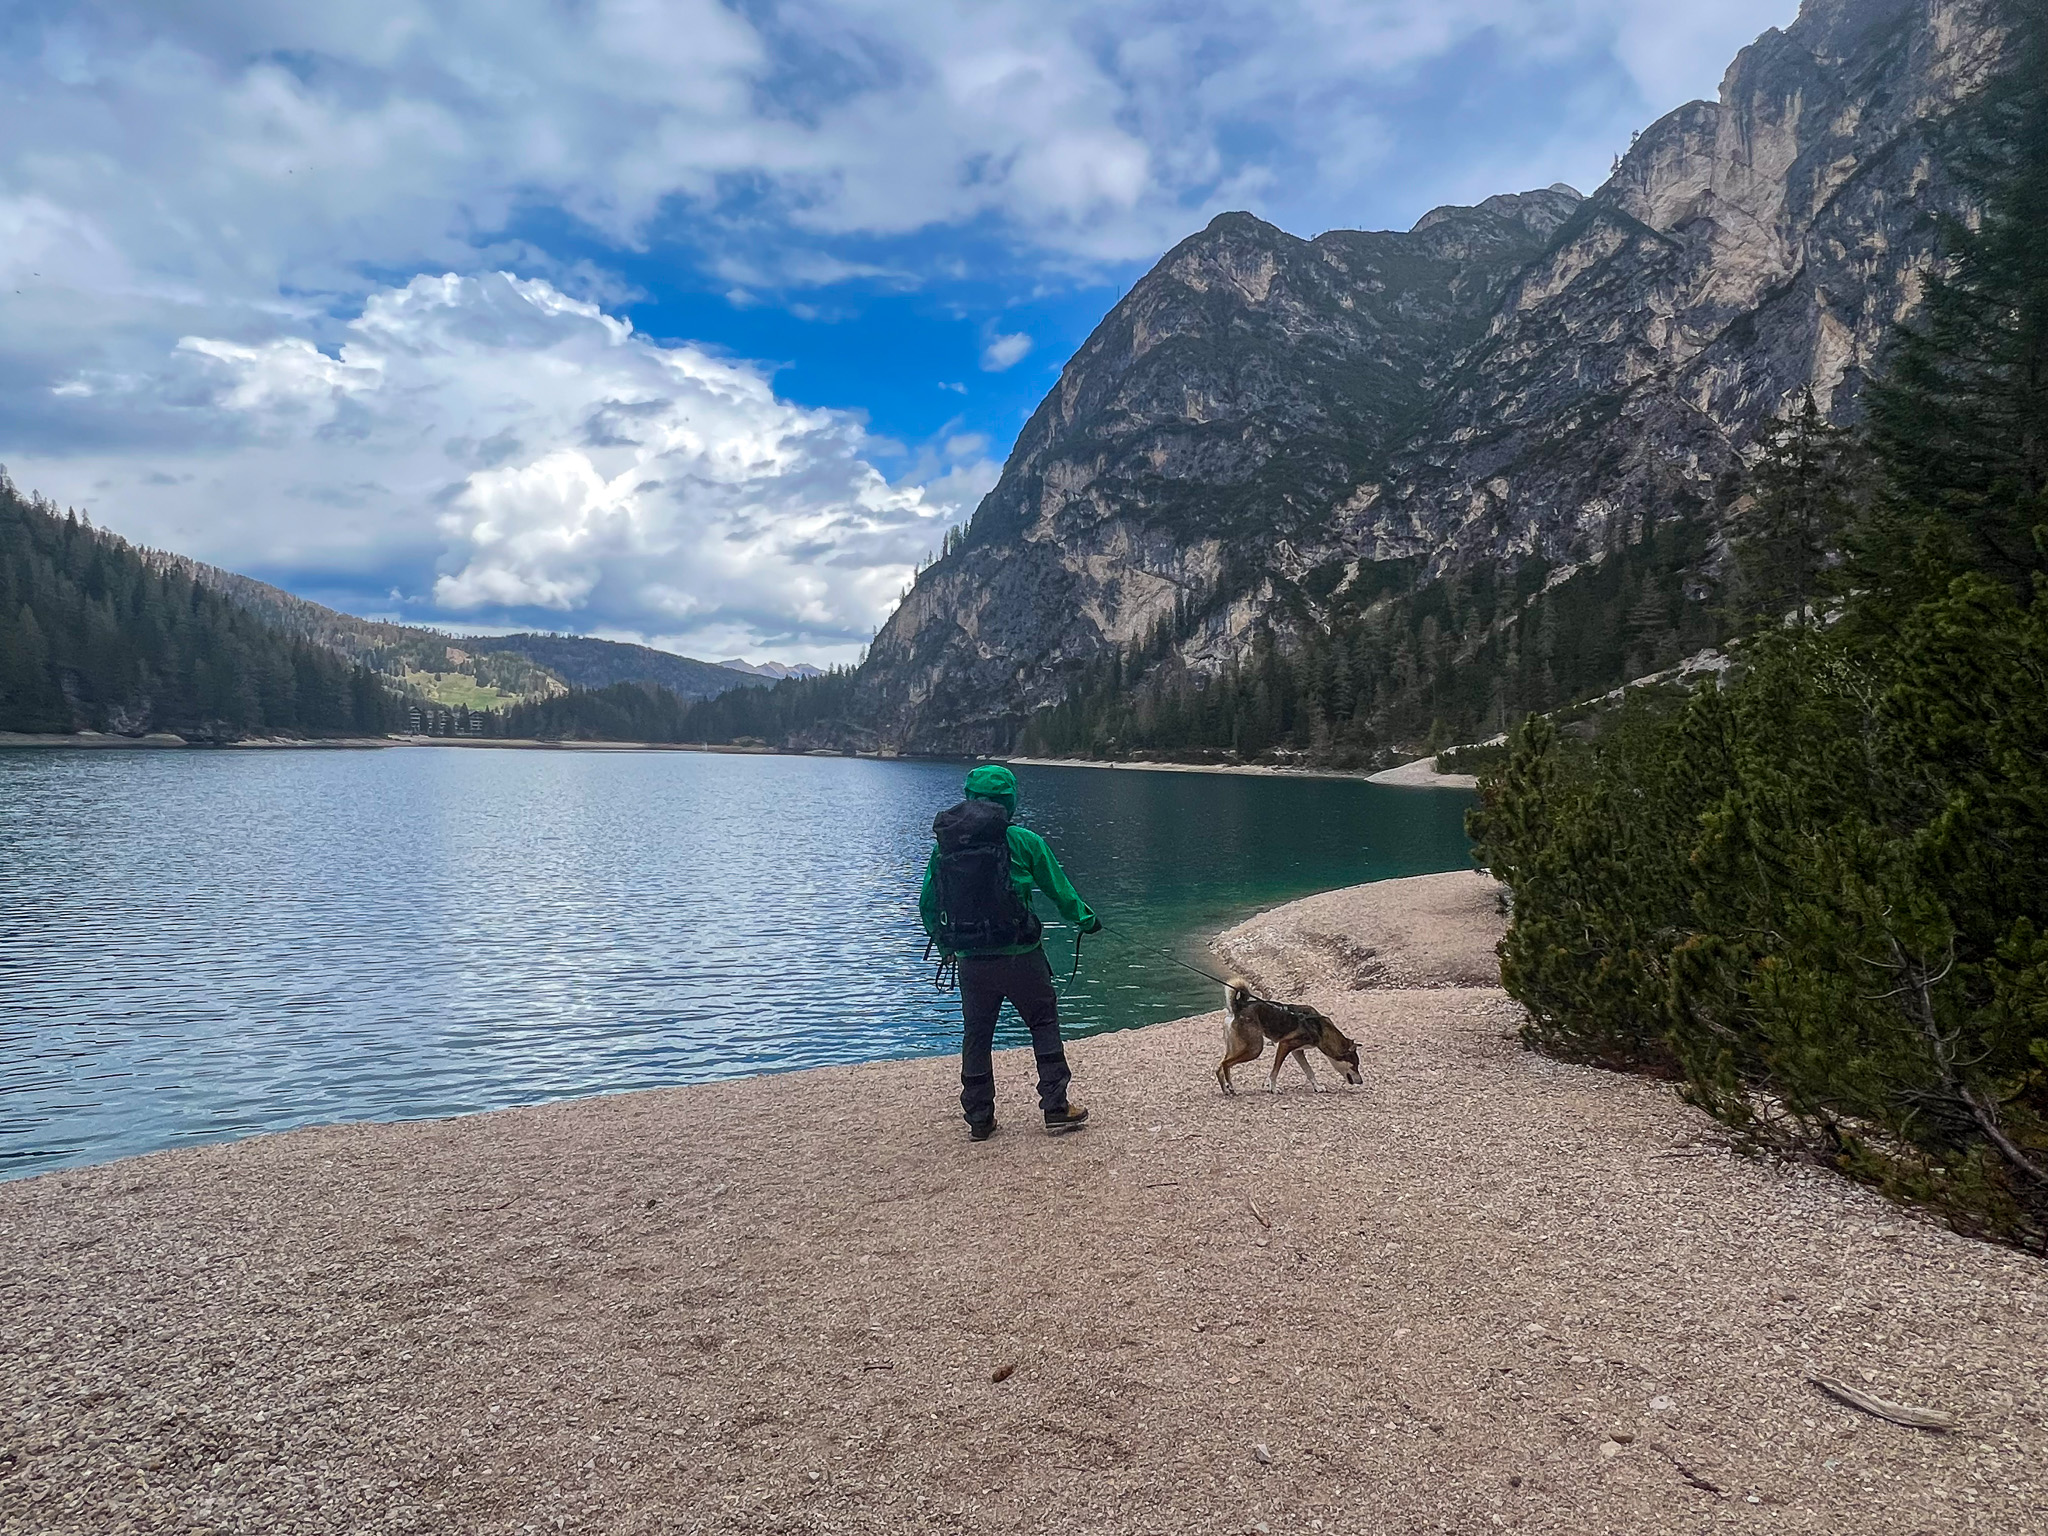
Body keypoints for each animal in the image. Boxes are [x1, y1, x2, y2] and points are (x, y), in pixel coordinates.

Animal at [1212, 978, 1359, 1097]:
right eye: (1355, 1065)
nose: (1361, 1081)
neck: (1320, 1028)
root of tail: (1239, 1006)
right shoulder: (1285, 1045)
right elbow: (1274, 1072)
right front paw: (1274, 1089)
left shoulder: (1297, 1052)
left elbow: (1309, 1071)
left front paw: (1317, 1087)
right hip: (1254, 1049)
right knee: (1226, 1064)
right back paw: (1230, 1087)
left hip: (1237, 1046)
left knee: (1220, 1067)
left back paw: (1226, 1090)